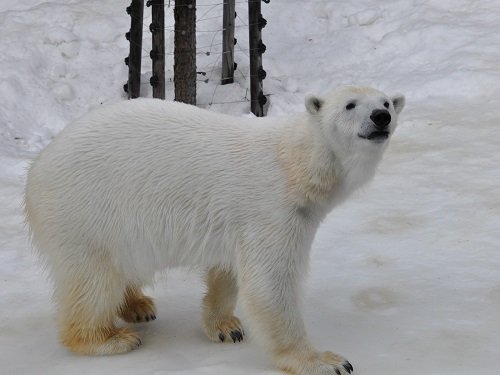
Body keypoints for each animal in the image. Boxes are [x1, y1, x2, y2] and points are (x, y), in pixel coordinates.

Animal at [25, 86, 404, 374]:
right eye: (350, 105)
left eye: (386, 102)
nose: (380, 117)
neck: (296, 164)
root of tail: (36, 168)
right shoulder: (273, 209)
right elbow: (270, 286)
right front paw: (326, 361)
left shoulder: (240, 220)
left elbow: (228, 271)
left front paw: (225, 327)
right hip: (87, 213)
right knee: (93, 279)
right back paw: (109, 338)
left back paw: (138, 305)